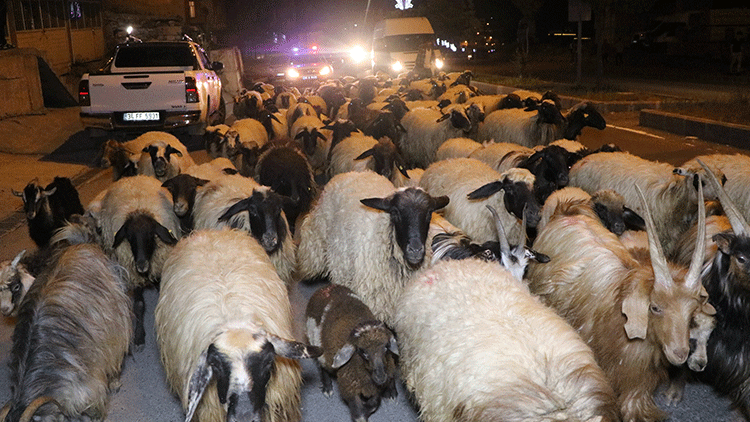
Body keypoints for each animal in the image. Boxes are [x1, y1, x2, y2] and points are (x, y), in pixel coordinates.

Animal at [304, 284, 400, 422]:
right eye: (363, 352)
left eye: (386, 347)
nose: (381, 377)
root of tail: (326, 287)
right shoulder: (350, 384)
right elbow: (359, 412)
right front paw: (361, 413)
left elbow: (374, 403)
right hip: (317, 344)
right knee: (322, 365)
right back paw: (327, 387)